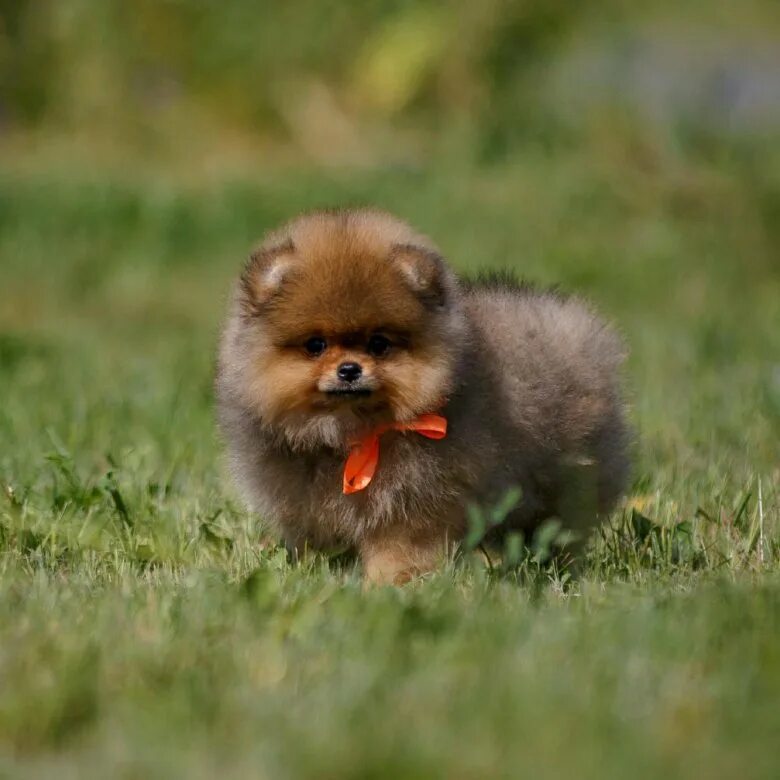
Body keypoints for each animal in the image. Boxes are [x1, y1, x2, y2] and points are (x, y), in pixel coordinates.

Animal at [216, 210, 632, 580]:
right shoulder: (304, 505)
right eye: (315, 345)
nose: (349, 369)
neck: (351, 434)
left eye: (379, 343)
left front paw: (391, 583)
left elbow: (400, 550)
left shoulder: (413, 506)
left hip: (571, 485)